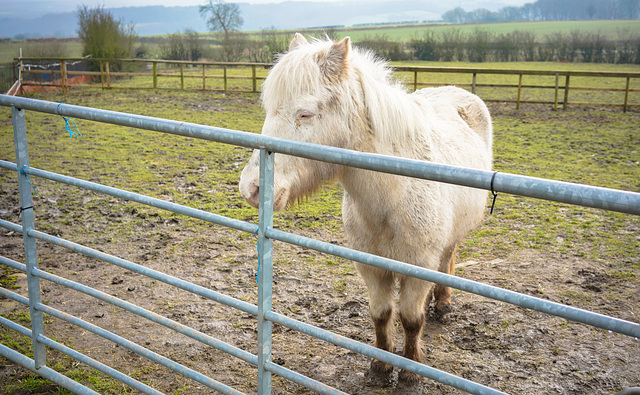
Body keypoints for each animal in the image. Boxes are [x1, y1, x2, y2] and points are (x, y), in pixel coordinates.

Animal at [238, 33, 492, 386]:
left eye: (305, 114)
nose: (252, 188)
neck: (393, 194)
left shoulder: (418, 265)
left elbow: (411, 319)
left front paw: (410, 372)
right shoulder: (371, 267)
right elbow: (381, 315)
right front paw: (381, 367)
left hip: (448, 242)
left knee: (447, 259)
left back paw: (442, 303)